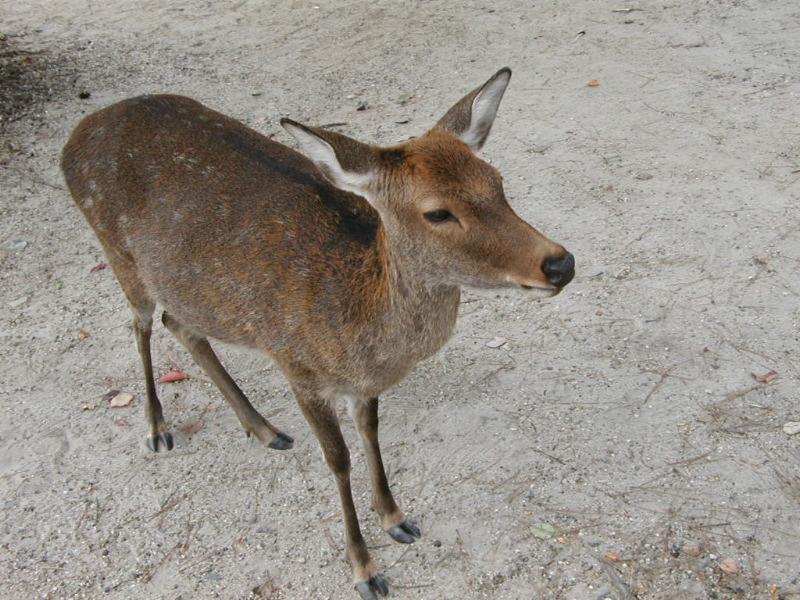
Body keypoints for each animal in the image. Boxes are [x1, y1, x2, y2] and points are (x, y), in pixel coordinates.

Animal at [62, 68, 576, 596]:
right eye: (437, 212)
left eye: (497, 181)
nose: (560, 264)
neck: (360, 329)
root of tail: (80, 130)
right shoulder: (297, 366)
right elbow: (338, 458)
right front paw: (364, 568)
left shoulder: (360, 384)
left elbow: (370, 433)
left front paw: (395, 517)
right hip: (119, 253)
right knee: (142, 323)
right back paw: (157, 428)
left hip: (193, 289)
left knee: (178, 323)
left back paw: (264, 428)